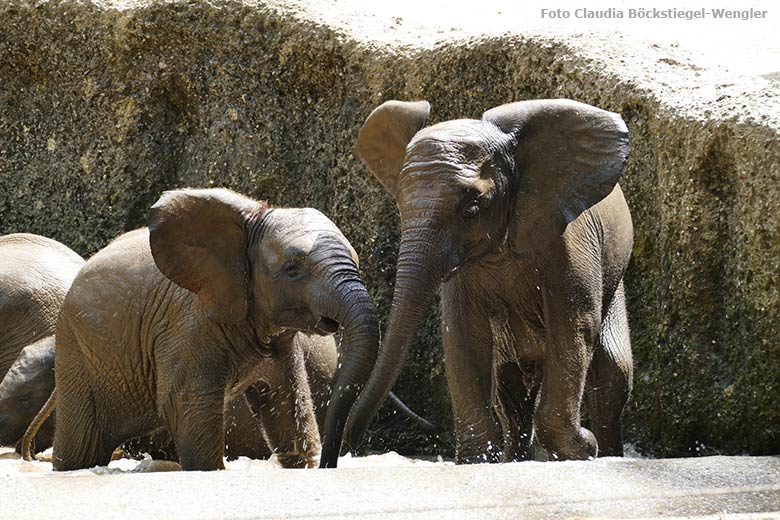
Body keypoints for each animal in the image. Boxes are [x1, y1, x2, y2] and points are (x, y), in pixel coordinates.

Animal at [51, 188, 378, 472]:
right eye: (292, 269)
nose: (329, 464)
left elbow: (287, 407)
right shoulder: (186, 326)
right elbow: (185, 405)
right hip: (78, 353)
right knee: (82, 447)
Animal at [322, 98, 632, 468]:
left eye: (470, 210)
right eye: (401, 207)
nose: (347, 451)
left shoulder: (568, 239)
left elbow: (572, 326)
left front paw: (581, 451)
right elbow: (463, 334)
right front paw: (477, 458)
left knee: (612, 373)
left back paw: (609, 454)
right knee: (511, 389)